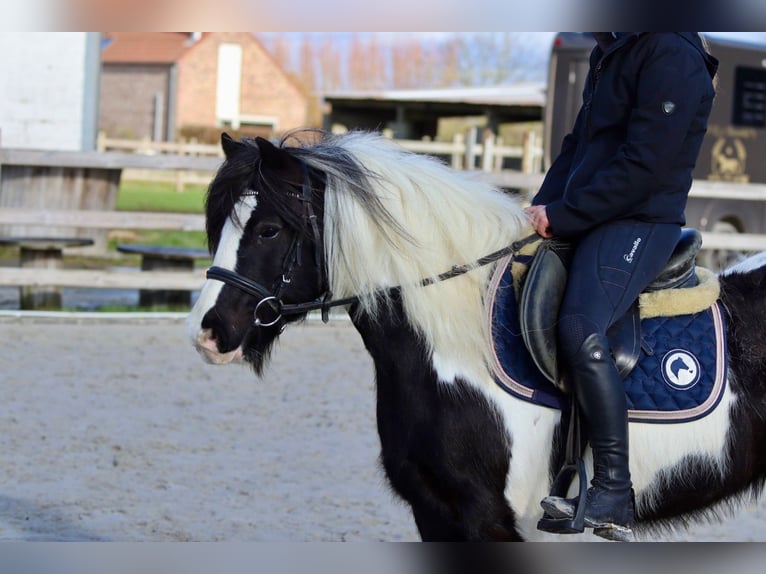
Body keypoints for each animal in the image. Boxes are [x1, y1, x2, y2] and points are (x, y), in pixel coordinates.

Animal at [186, 130, 766, 541]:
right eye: (218, 227)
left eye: (268, 230)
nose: (208, 333)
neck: (463, 350)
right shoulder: (434, 514)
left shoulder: (489, 519)